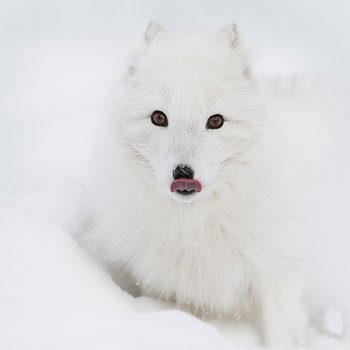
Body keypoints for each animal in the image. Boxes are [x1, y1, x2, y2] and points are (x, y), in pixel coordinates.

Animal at [82, 22, 348, 348]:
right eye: (159, 117)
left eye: (216, 121)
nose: (183, 172)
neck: (198, 223)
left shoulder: (281, 272)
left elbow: (281, 334)